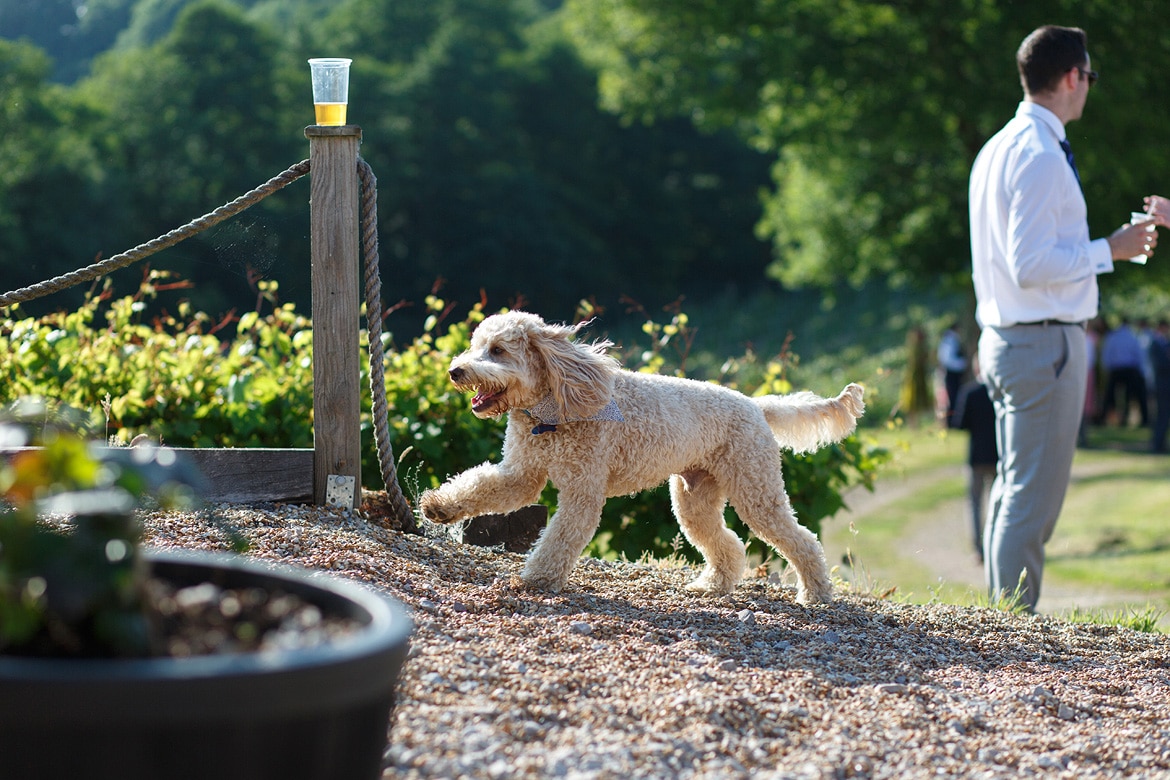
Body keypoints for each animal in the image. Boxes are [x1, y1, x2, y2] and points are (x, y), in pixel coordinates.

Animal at [416, 311, 865, 603]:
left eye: (496, 350)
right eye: (474, 346)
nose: (456, 370)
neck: (553, 410)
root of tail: (756, 405)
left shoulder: (583, 491)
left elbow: (560, 539)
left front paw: (536, 580)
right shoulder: (521, 474)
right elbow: (479, 485)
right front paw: (439, 506)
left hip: (756, 489)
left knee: (802, 539)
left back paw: (816, 592)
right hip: (694, 498)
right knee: (728, 544)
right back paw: (712, 587)